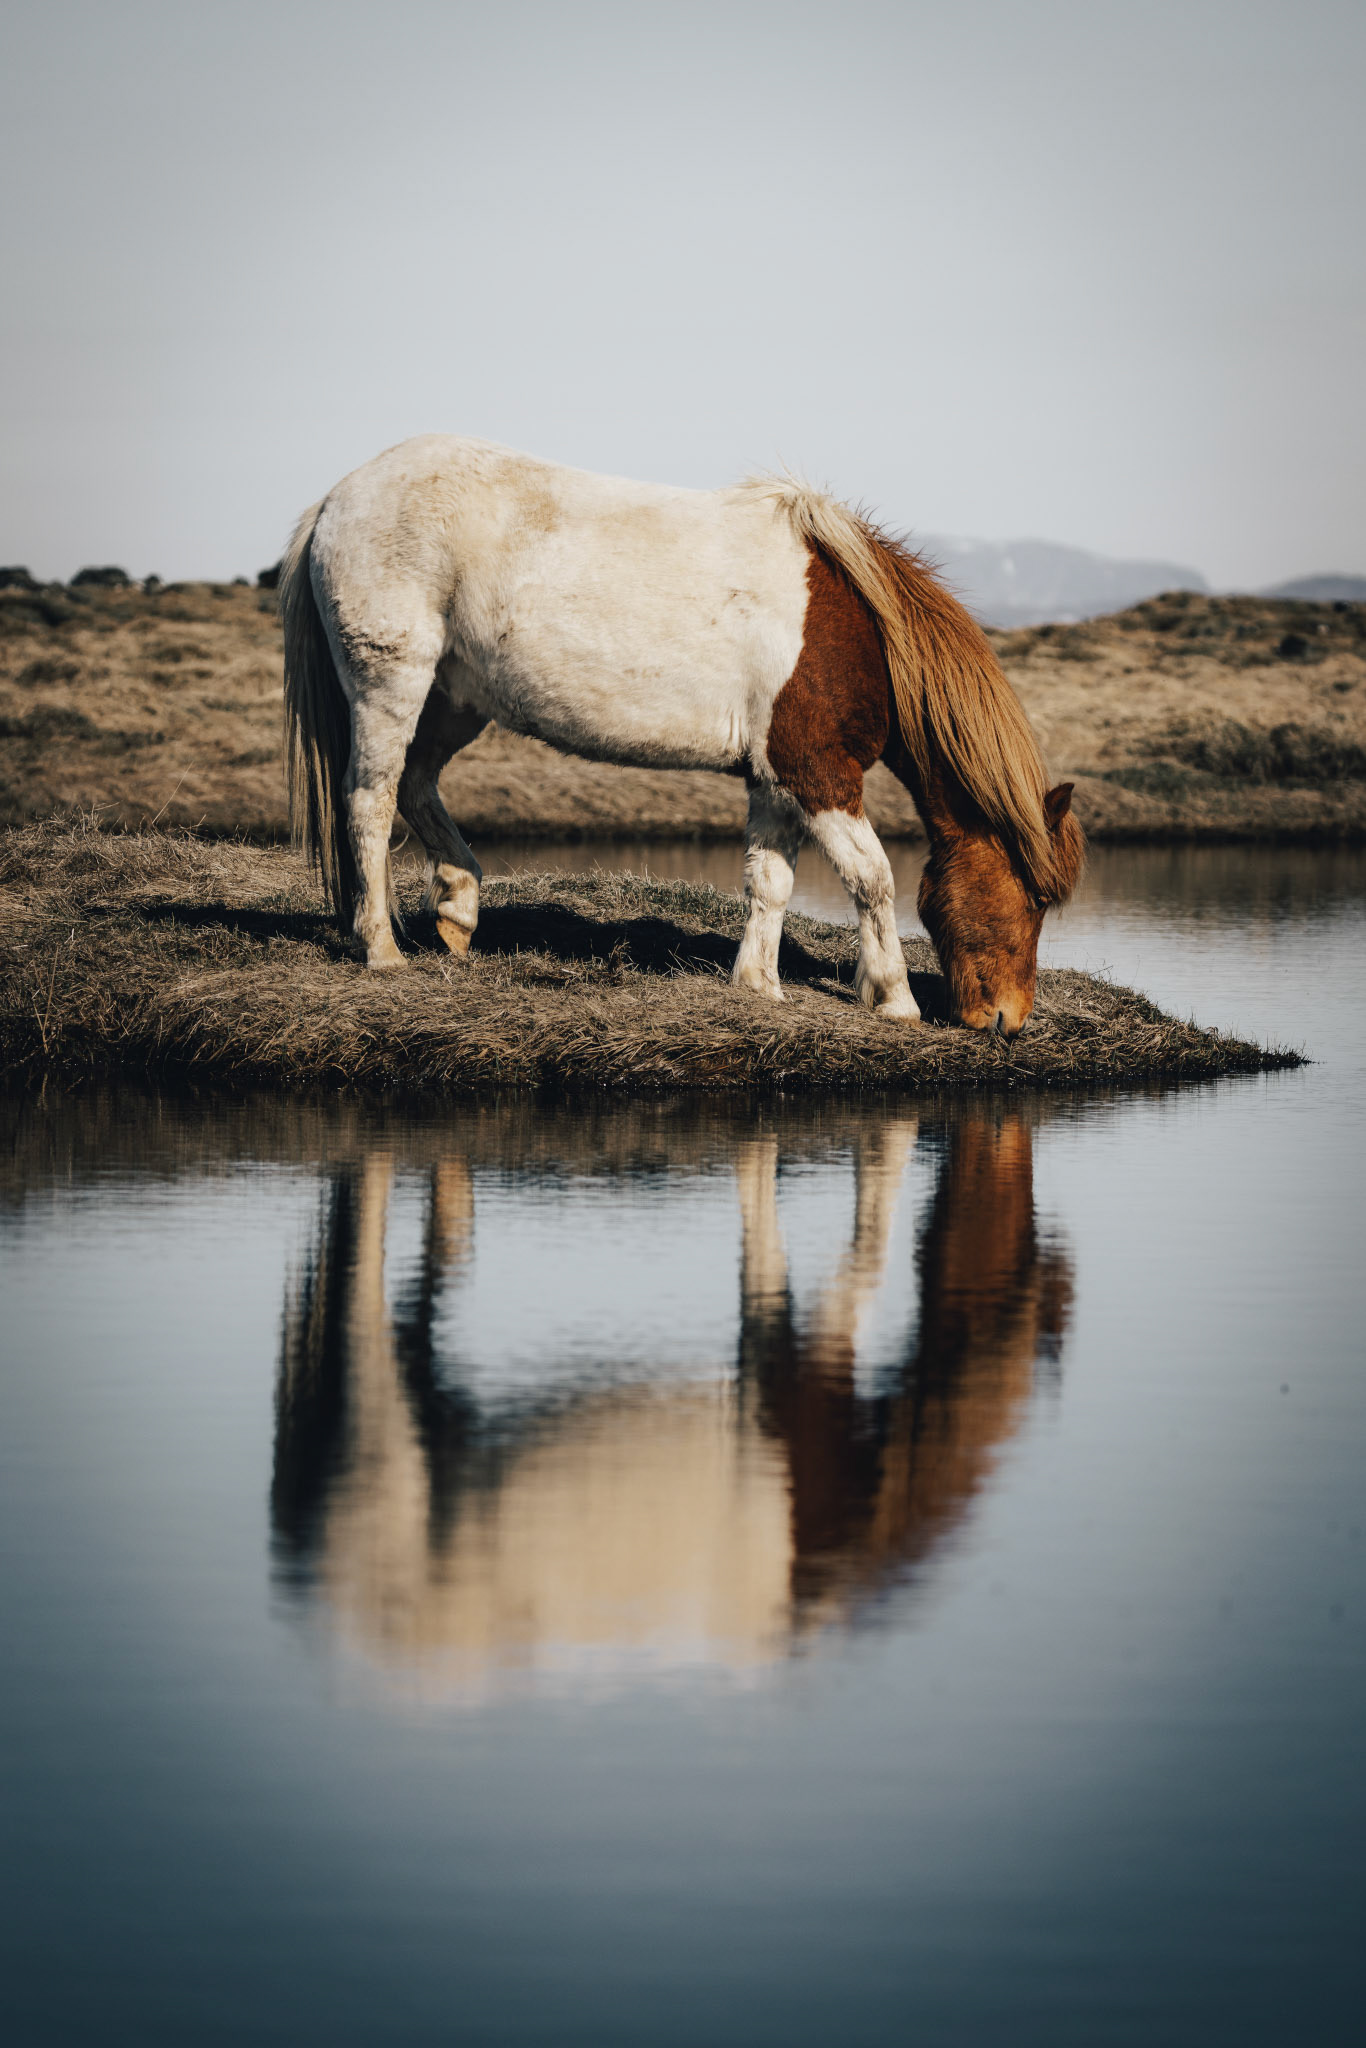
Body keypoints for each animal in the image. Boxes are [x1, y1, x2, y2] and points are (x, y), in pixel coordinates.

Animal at [281, 436, 1083, 1033]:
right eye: (1034, 896)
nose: (1008, 1020)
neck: (859, 632)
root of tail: (337, 498)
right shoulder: (818, 774)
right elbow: (872, 876)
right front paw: (893, 998)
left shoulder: (776, 780)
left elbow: (771, 880)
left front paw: (758, 985)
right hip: (392, 686)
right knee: (371, 801)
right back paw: (382, 950)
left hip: (452, 701)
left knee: (417, 785)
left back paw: (457, 907)